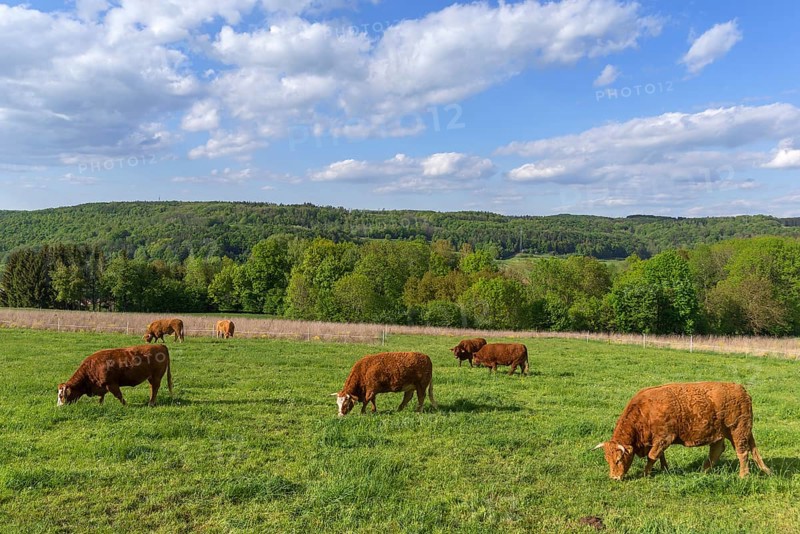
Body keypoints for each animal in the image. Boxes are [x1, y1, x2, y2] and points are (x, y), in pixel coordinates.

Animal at [594, 382, 771, 480]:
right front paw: (664, 469)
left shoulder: (664, 437)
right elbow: (660, 456)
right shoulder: (657, 440)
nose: (614, 477)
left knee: (743, 453)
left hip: (738, 431)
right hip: (719, 434)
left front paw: (645, 474)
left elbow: (652, 456)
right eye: (607, 460)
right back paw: (702, 472)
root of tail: (742, 390)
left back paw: (743, 475)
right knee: (716, 452)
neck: (645, 411)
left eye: (618, 460)